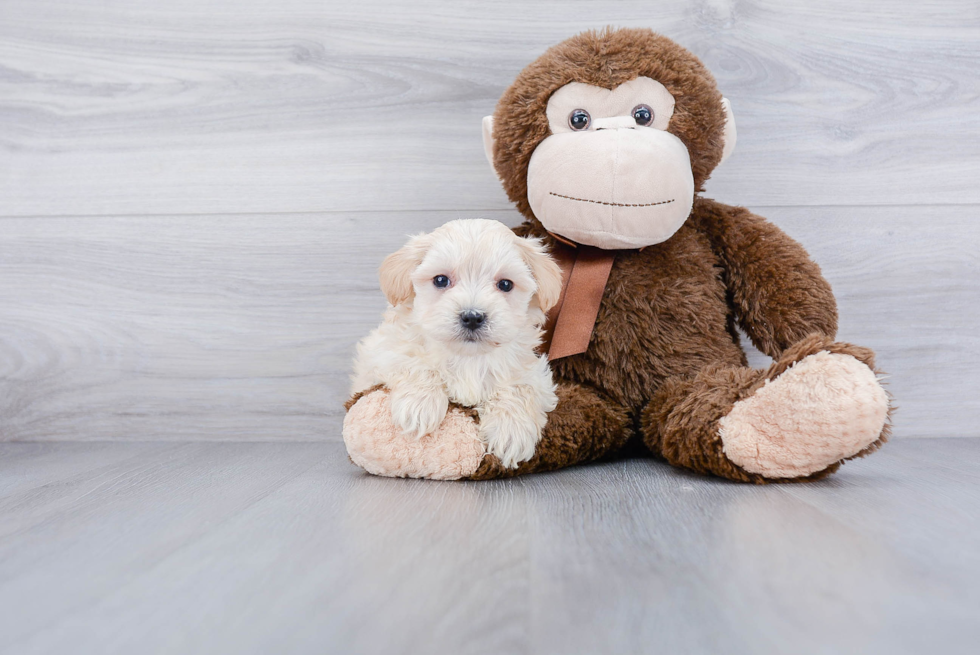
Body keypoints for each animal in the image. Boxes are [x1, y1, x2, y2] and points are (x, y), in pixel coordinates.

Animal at [354, 220, 568, 472]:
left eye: (506, 284)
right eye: (440, 280)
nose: (472, 317)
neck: (468, 356)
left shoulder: (536, 375)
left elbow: (519, 388)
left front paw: (511, 431)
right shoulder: (381, 352)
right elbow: (414, 362)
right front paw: (418, 405)